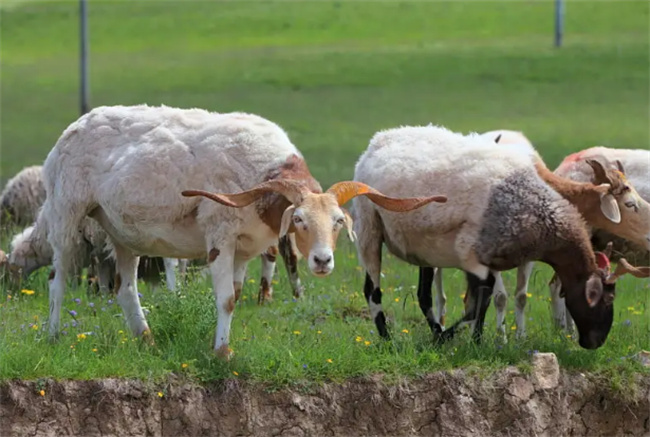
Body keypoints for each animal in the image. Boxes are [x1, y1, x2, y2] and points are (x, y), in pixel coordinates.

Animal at [40, 104, 440, 356]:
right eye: (299, 220)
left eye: (338, 222)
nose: (323, 261)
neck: (263, 178)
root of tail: (74, 127)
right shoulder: (221, 238)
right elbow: (227, 300)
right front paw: (222, 354)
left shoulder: (245, 249)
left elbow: (233, 295)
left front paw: (221, 345)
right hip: (66, 214)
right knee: (57, 279)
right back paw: (54, 336)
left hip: (122, 233)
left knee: (125, 289)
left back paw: (146, 340)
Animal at [352, 124, 644, 350]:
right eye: (606, 299)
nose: (596, 343)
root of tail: (378, 140)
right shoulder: (471, 254)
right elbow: (477, 304)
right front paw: (455, 340)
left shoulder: (495, 259)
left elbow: (484, 301)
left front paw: (476, 341)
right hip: (369, 226)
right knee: (372, 290)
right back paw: (388, 339)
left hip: (421, 246)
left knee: (423, 294)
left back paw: (432, 330)